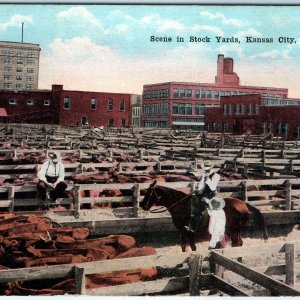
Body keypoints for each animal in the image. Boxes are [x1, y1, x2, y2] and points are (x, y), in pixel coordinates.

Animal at [138, 179, 268, 252]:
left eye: (148, 193)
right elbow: (187, 247)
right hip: (235, 230)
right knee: (239, 243)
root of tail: (243, 203)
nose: (142, 204)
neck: (181, 205)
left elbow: (189, 246)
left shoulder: (186, 231)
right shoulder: (184, 232)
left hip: (234, 230)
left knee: (236, 243)